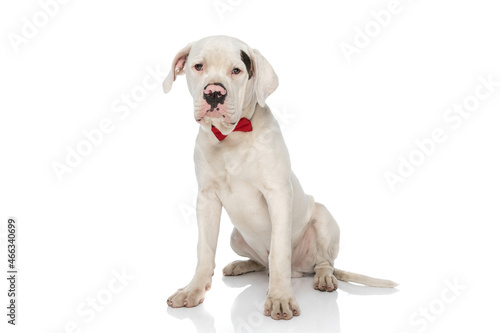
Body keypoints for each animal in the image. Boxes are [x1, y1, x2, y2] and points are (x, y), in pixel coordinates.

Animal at [162, 35, 396, 320]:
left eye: (236, 70)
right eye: (198, 66)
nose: (214, 93)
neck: (232, 137)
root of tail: (301, 270)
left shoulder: (278, 195)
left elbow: (279, 252)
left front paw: (280, 299)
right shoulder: (206, 199)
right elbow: (204, 250)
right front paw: (193, 290)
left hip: (323, 217)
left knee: (322, 262)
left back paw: (323, 278)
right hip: (236, 237)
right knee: (263, 264)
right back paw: (241, 265)